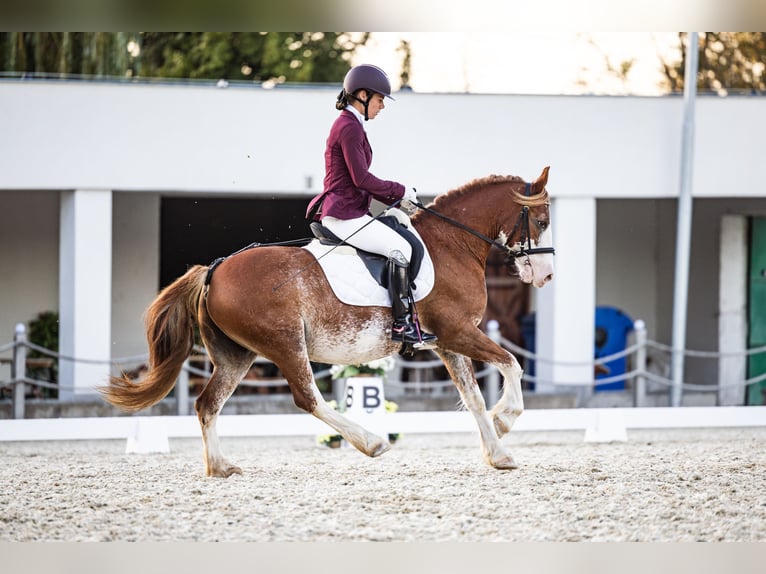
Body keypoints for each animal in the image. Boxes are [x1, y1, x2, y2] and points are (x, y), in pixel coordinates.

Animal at [102, 165, 560, 476]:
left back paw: (220, 467)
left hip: (237, 355)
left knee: (207, 403)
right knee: (308, 398)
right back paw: (371, 442)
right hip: (286, 343)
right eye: (542, 221)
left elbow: (475, 398)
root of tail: (215, 268)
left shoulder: (447, 342)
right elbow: (512, 365)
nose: (546, 277)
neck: (453, 243)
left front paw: (498, 452)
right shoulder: (458, 332)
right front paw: (505, 420)